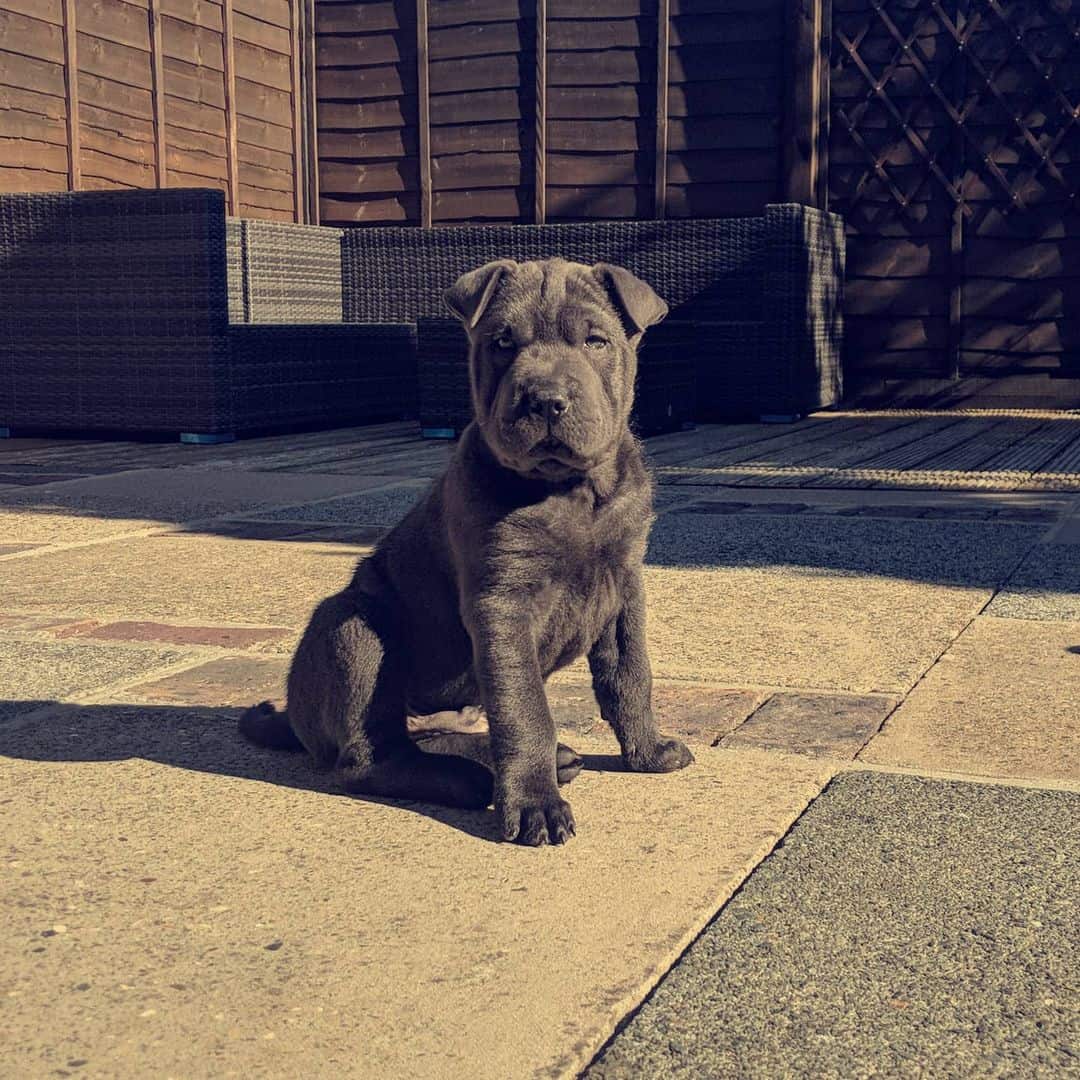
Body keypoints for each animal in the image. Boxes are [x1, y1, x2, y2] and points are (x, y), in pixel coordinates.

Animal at [241, 254, 695, 842]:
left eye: (596, 341)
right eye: (502, 342)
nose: (544, 400)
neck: (572, 492)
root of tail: (293, 718)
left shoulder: (623, 588)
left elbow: (631, 674)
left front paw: (649, 753)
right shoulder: (502, 603)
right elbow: (525, 710)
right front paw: (535, 805)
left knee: (427, 736)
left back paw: (523, 762)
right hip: (352, 628)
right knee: (367, 757)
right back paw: (471, 780)